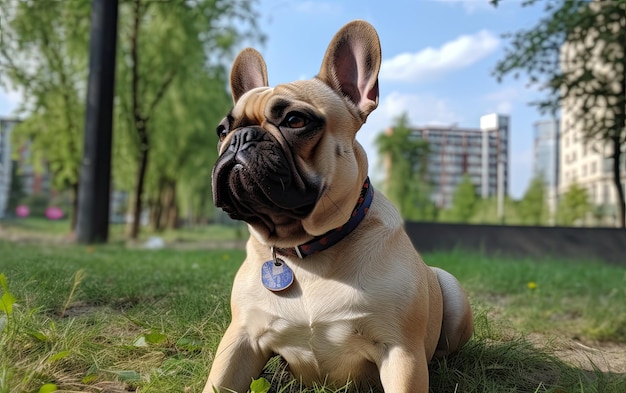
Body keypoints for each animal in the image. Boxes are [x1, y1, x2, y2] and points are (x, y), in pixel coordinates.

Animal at [206, 20, 472, 392]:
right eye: (222, 130)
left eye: (295, 121)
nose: (240, 138)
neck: (307, 249)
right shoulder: (241, 338)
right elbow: (218, 381)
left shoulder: (401, 351)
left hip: (451, 290)